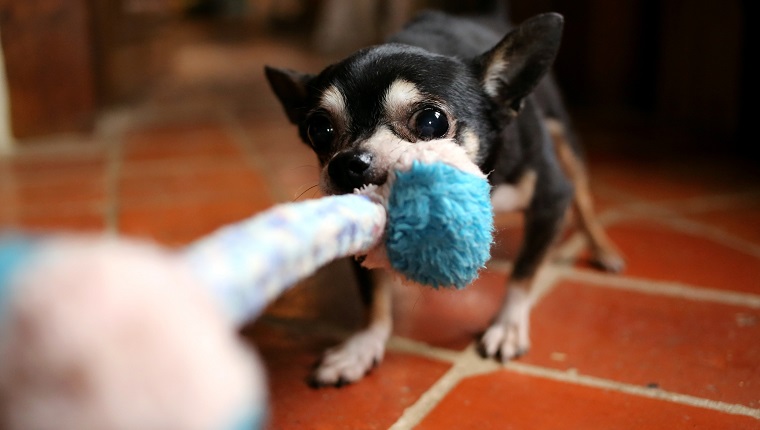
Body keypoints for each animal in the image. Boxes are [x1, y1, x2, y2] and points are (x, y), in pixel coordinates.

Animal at [266, 9, 624, 386]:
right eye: (318, 130)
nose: (346, 163)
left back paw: (603, 250)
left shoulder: (551, 200)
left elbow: (523, 273)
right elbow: (373, 296)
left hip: (564, 140)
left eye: (430, 121)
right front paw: (362, 346)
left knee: (583, 199)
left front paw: (507, 325)